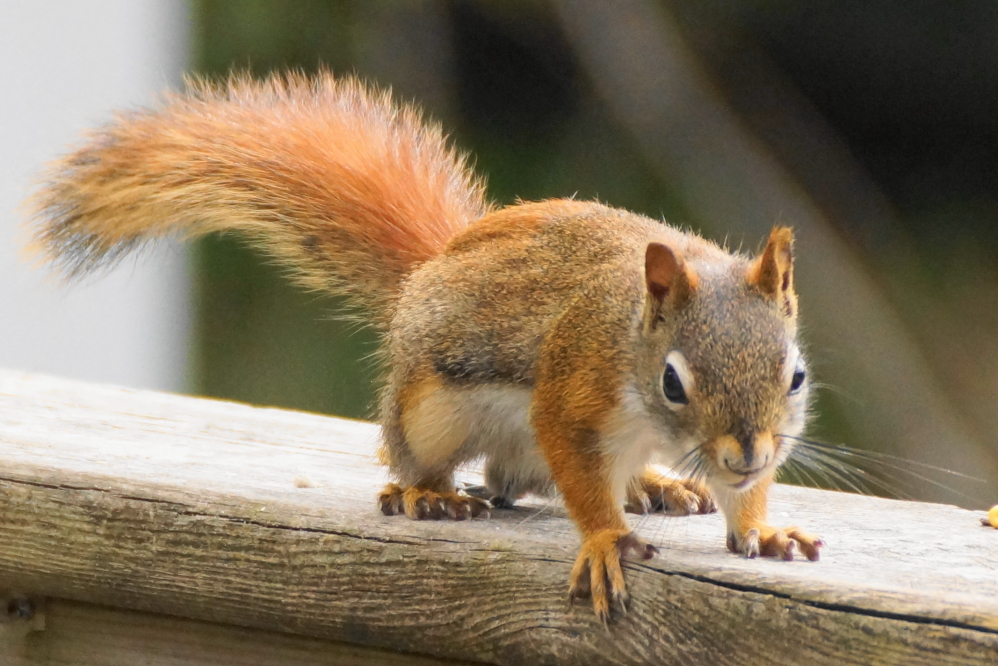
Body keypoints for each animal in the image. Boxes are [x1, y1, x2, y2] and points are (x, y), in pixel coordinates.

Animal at [26, 71, 823, 622]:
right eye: (673, 383)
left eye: (796, 376)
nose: (747, 455)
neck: (629, 335)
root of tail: (427, 273)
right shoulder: (574, 386)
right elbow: (575, 469)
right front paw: (602, 541)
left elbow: (737, 505)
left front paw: (763, 527)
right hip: (426, 410)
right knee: (435, 462)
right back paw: (424, 495)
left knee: (525, 479)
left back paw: (652, 483)